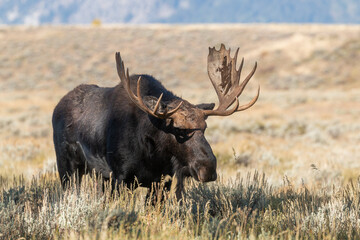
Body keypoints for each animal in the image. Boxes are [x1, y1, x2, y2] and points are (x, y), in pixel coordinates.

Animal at [51, 43, 258, 201]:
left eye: (205, 128)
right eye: (179, 130)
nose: (207, 168)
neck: (152, 152)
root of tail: (56, 108)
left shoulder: (162, 181)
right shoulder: (120, 178)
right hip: (67, 167)